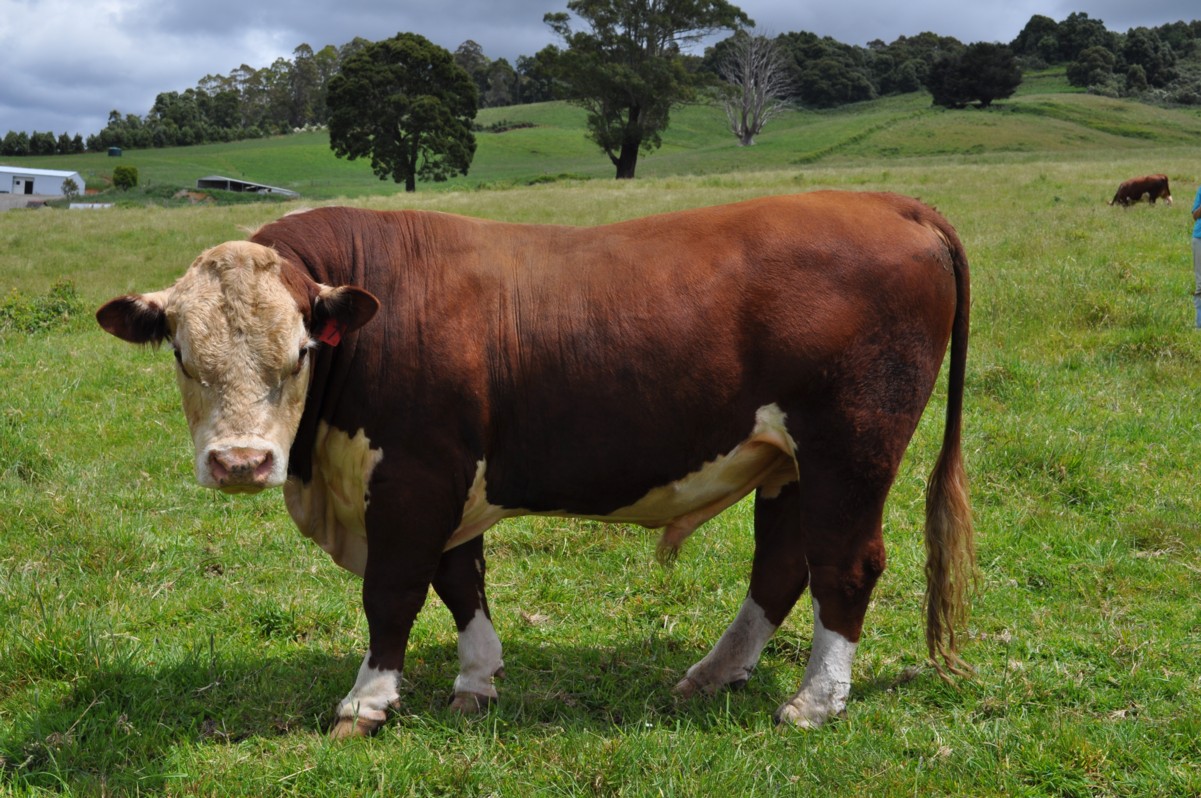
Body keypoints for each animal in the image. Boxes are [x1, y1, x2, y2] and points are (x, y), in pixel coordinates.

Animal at [96, 192, 974, 739]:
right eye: (181, 353)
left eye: (301, 352)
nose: (240, 462)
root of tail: (886, 203)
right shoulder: (446, 479)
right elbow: (460, 582)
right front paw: (476, 681)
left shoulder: (415, 474)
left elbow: (393, 593)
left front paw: (368, 700)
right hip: (785, 460)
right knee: (783, 565)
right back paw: (714, 673)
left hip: (850, 447)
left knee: (845, 565)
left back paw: (815, 703)